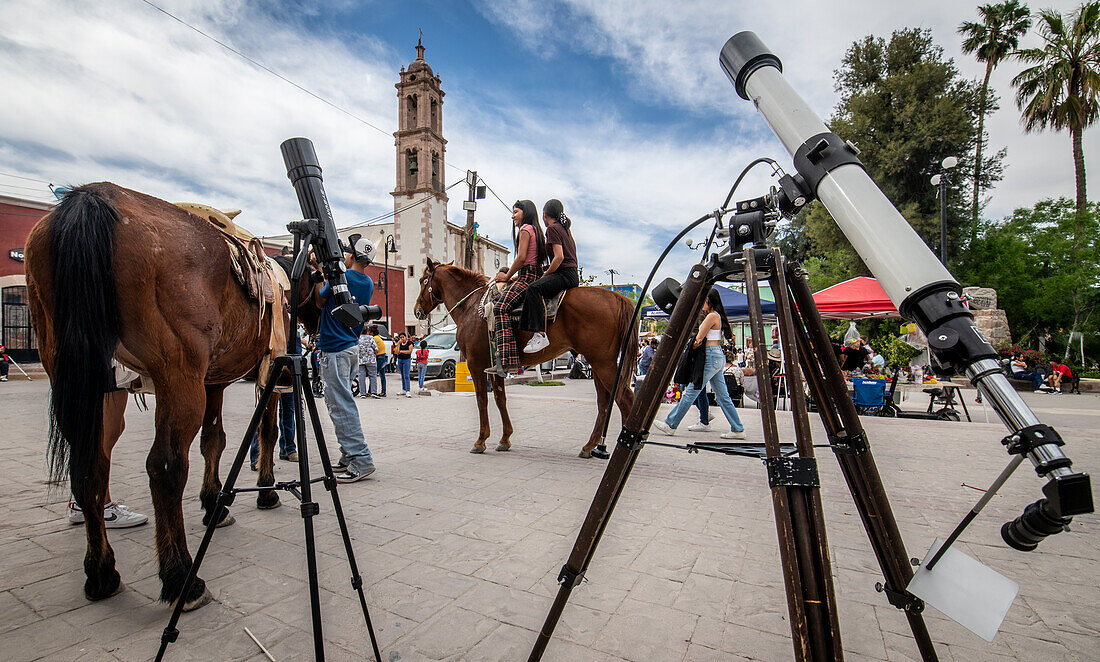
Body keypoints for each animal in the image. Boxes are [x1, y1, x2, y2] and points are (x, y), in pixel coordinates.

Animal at [24, 181, 294, 607]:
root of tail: (91, 197)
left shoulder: (212, 381)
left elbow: (214, 440)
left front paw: (214, 503)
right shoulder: (270, 372)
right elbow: (266, 432)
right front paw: (265, 492)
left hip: (70, 369)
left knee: (89, 466)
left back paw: (102, 572)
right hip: (176, 372)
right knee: (165, 466)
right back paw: (182, 577)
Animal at [413, 256, 638, 453]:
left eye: (423, 281)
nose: (417, 310)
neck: (471, 306)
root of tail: (617, 297)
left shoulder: (477, 365)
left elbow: (481, 400)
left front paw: (481, 440)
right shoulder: (496, 365)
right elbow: (500, 398)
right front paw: (505, 439)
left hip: (603, 363)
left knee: (625, 398)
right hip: (598, 363)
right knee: (604, 402)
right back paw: (589, 446)